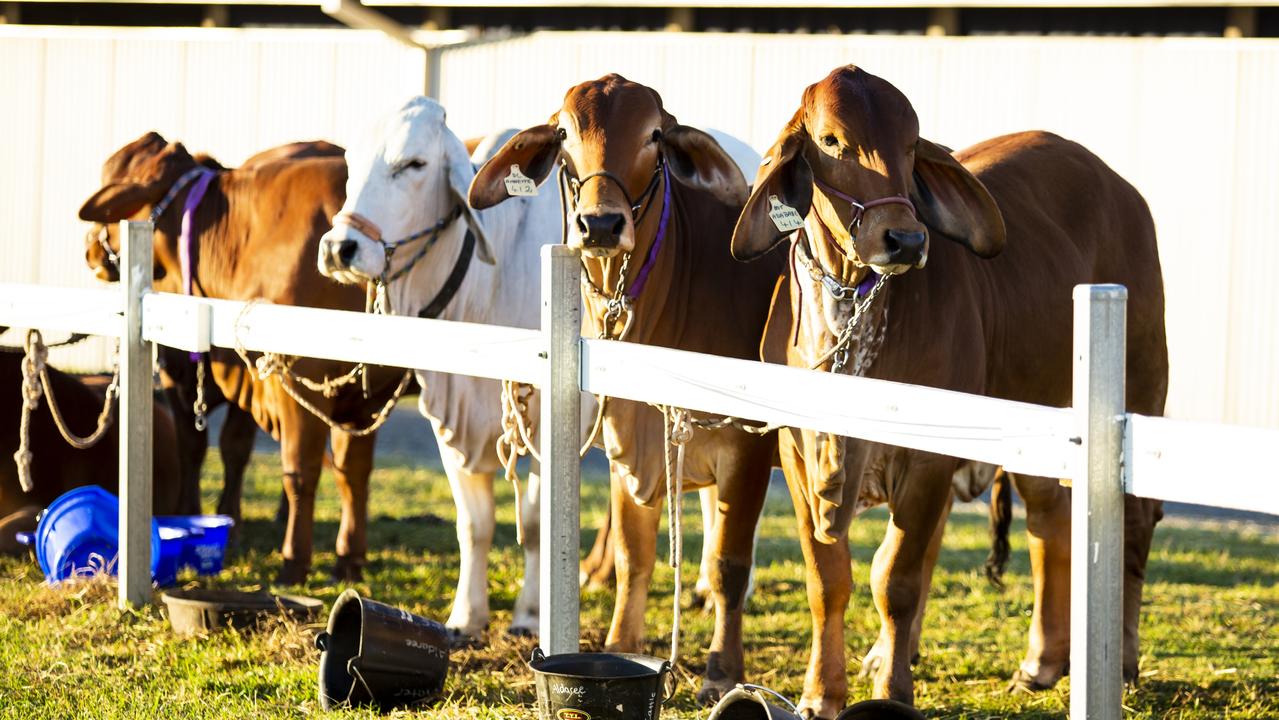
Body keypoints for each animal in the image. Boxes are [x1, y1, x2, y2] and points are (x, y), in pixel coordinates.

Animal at [319, 97, 752, 641]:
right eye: (351, 163)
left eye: (414, 164)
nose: (339, 248)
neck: (487, 285)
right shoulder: (450, 420)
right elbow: (474, 524)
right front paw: (466, 616)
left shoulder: (550, 421)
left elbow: (535, 523)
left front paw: (528, 614)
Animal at [470, 73, 782, 705]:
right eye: (564, 133)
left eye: (654, 134)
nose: (600, 225)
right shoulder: (627, 437)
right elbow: (632, 556)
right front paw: (622, 643)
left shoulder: (748, 446)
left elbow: (730, 562)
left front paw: (722, 670)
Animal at [731, 63, 1171, 716]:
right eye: (831, 141)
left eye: (912, 144)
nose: (907, 241)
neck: (852, 308)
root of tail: (1122, 189)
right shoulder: (796, 448)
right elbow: (827, 580)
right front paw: (821, 693)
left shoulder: (926, 459)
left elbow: (896, 578)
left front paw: (891, 691)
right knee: (1049, 522)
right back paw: (1039, 663)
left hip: (1141, 384)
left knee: (1135, 525)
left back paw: (1120, 660)